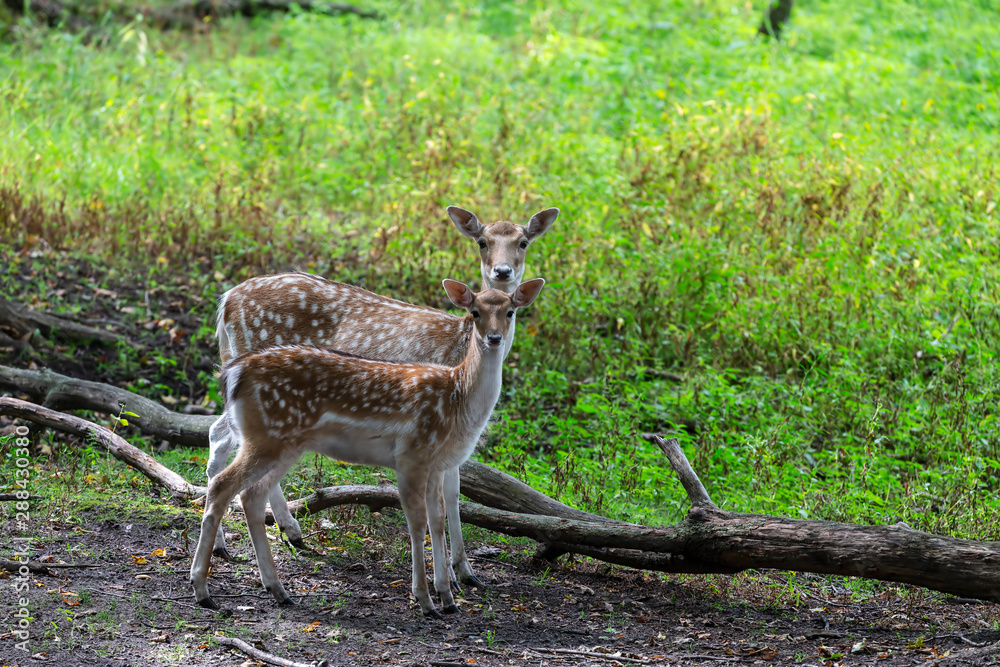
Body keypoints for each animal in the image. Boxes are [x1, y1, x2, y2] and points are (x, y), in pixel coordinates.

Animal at [189, 280, 548, 620]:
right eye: (475, 312)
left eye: (510, 312)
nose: (494, 338)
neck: (458, 398)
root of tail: (232, 373)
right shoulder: (412, 456)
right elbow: (417, 523)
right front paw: (426, 600)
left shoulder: (436, 463)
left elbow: (438, 519)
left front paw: (448, 597)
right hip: (267, 439)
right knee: (223, 483)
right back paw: (203, 589)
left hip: (283, 445)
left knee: (249, 491)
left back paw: (278, 587)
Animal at [206, 205, 560, 588]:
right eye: (482, 241)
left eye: (523, 241)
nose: (502, 271)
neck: (462, 346)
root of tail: (226, 301)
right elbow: (448, 491)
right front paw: (455, 573)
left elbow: (453, 491)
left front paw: (464, 571)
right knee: (226, 439)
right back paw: (251, 538)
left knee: (223, 436)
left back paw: (271, 535)